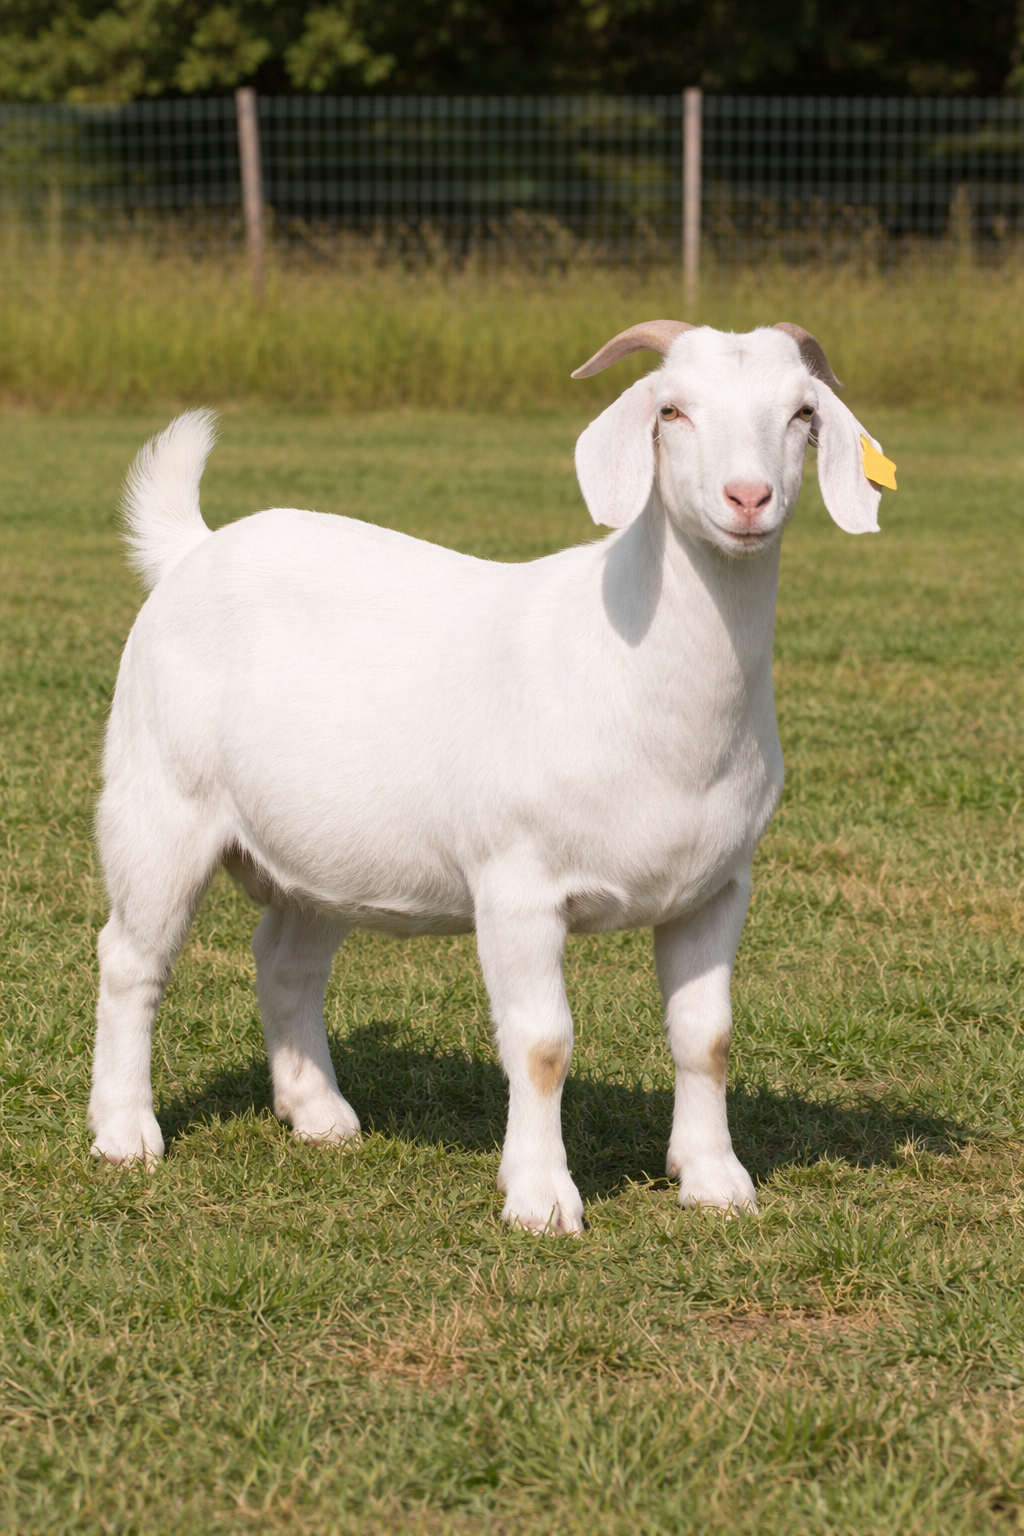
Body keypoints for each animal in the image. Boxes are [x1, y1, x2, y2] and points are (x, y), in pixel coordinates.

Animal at [88, 322, 891, 1233]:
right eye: (671, 411)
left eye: (802, 413)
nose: (748, 498)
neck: (633, 668)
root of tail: (192, 549)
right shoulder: (519, 885)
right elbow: (542, 1045)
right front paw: (541, 1201)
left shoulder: (717, 886)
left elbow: (706, 1036)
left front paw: (716, 1181)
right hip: (158, 803)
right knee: (131, 960)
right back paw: (125, 1132)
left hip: (326, 849)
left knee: (286, 959)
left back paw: (319, 1113)